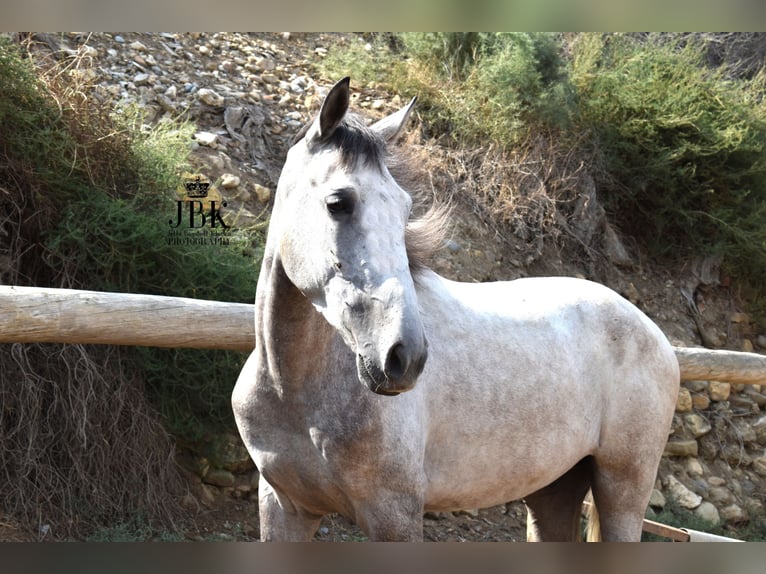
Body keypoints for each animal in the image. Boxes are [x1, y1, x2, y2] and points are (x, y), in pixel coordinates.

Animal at [231, 77, 680, 544]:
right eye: (338, 202)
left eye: (405, 209)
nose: (405, 356)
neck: (292, 390)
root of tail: (658, 338)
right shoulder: (284, 507)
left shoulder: (394, 516)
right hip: (553, 490)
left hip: (622, 490)